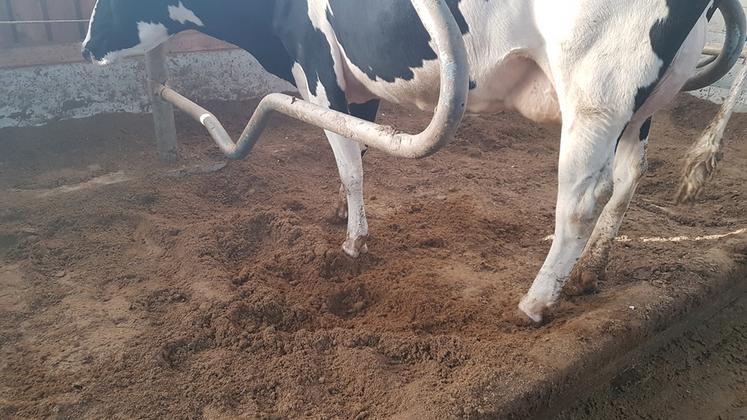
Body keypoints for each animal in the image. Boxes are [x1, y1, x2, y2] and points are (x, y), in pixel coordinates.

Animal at [83, 0, 747, 324]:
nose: (85, 47)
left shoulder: (318, 73)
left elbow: (349, 159)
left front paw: (354, 242)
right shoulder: (356, 81)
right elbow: (352, 147)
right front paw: (340, 213)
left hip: (596, 93)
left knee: (580, 204)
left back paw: (537, 302)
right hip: (645, 103)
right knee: (629, 180)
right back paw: (593, 272)